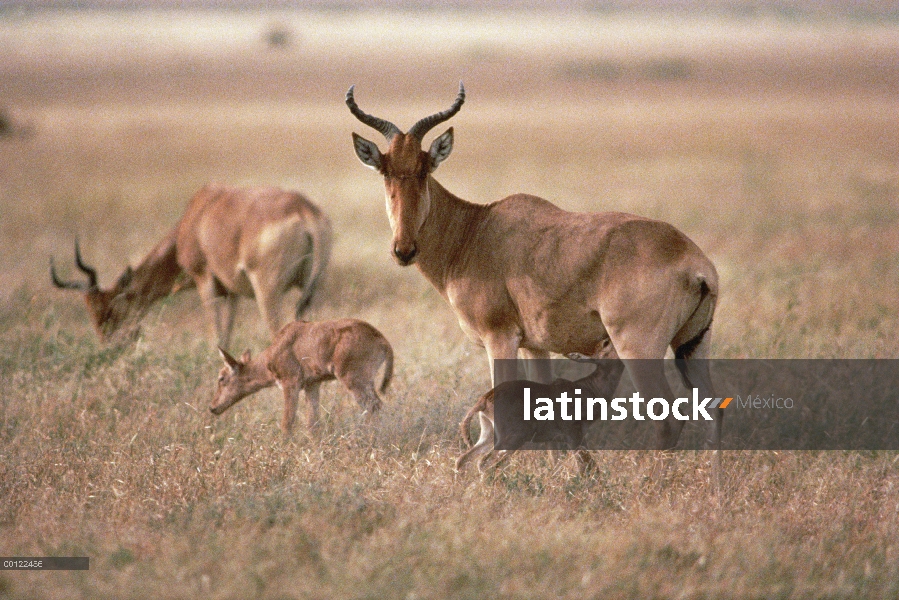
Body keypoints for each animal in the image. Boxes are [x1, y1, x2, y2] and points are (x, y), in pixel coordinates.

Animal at [50, 185, 330, 350]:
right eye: (91, 312)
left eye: (111, 309)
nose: (111, 348)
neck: (199, 212)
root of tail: (303, 209)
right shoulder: (233, 292)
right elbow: (227, 335)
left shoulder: (204, 279)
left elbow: (217, 336)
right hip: (311, 292)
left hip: (267, 292)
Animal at [213, 318, 396, 436]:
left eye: (221, 378)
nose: (213, 408)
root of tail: (382, 340)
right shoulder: (312, 385)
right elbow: (312, 424)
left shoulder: (291, 384)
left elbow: (287, 422)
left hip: (354, 381)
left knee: (374, 406)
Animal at [348, 83, 720, 450]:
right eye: (385, 171)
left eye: (424, 169)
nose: (404, 250)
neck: (477, 229)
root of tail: (694, 262)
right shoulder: (535, 345)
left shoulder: (500, 339)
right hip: (693, 345)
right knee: (713, 411)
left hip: (637, 347)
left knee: (668, 420)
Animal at [458, 344, 624, 476]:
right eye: (607, 344)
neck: (588, 387)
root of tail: (484, 400)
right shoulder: (574, 435)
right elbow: (587, 466)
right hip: (512, 438)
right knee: (484, 463)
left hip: (489, 436)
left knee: (463, 460)